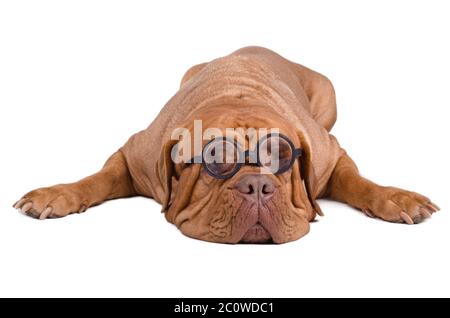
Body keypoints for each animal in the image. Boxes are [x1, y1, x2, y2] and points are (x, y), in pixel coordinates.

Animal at [14, 46, 440, 243]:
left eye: (282, 159)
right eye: (216, 161)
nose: (257, 185)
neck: (238, 95)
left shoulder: (331, 152)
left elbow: (357, 181)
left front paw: (397, 198)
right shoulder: (135, 154)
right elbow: (96, 179)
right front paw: (56, 194)